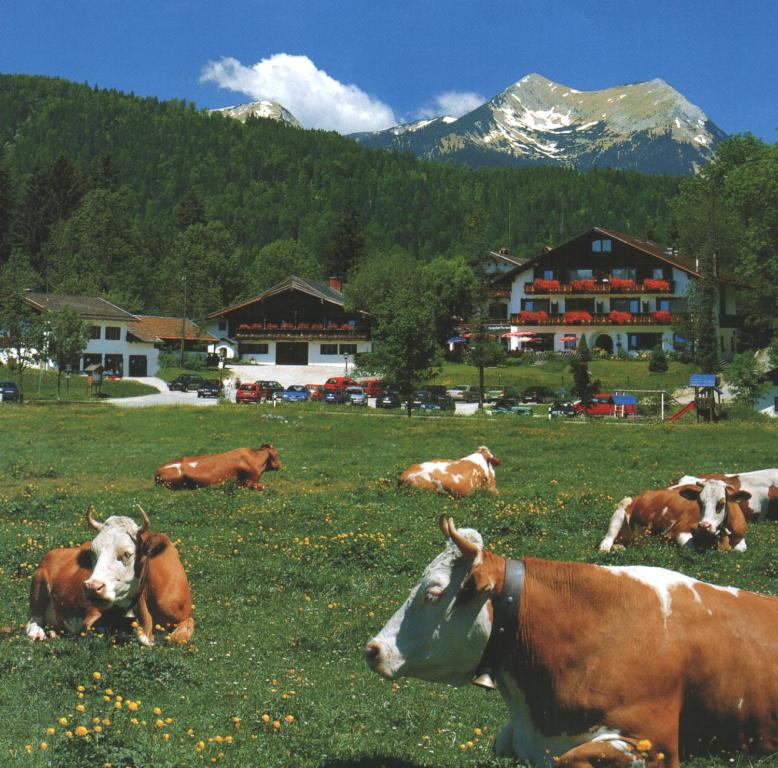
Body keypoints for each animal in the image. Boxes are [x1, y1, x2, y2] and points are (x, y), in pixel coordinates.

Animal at [26, 508, 193, 644]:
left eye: (127, 554)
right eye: (93, 552)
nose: (92, 587)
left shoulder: (186, 616)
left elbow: (177, 638)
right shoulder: (92, 616)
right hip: (39, 584)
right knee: (33, 620)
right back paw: (38, 633)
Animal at [596, 480, 748, 552]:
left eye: (721, 504)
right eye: (699, 502)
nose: (704, 525)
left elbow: (742, 548)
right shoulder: (679, 529)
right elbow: (689, 547)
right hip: (623, 504)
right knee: (608, 539)